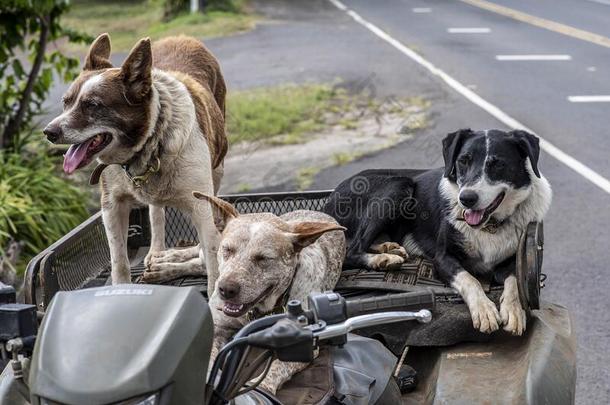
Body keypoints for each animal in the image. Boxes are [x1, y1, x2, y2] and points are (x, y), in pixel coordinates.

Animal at [42, 34, 227, 294]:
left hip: (218, 168)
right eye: (66, 102)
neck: (148, 144)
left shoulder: (202, 208)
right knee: (156, 212)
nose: (48, 132)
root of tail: (182, 37)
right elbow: (119, 260)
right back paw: (157, 253)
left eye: (92, 105)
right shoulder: (111, 205)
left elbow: (213, 265)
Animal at [195, 193, 346, 394]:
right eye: (227, 249)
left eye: (263, 258)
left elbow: (277, 367)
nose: (226, 289)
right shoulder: (218, 326)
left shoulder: (303, 342)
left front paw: (263, 388)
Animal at [324, 129, 552, 334]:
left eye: (497, 164)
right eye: (463, 161)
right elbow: (470, 279)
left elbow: (514, 280)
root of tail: (330, 199)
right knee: (351, 250)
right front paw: (484, 310)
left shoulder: (515, 259)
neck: (490, 225)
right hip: (398, 185)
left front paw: (514, 311)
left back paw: (389, 249)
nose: (466, 199)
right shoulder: (442, 259)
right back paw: (382, 259)